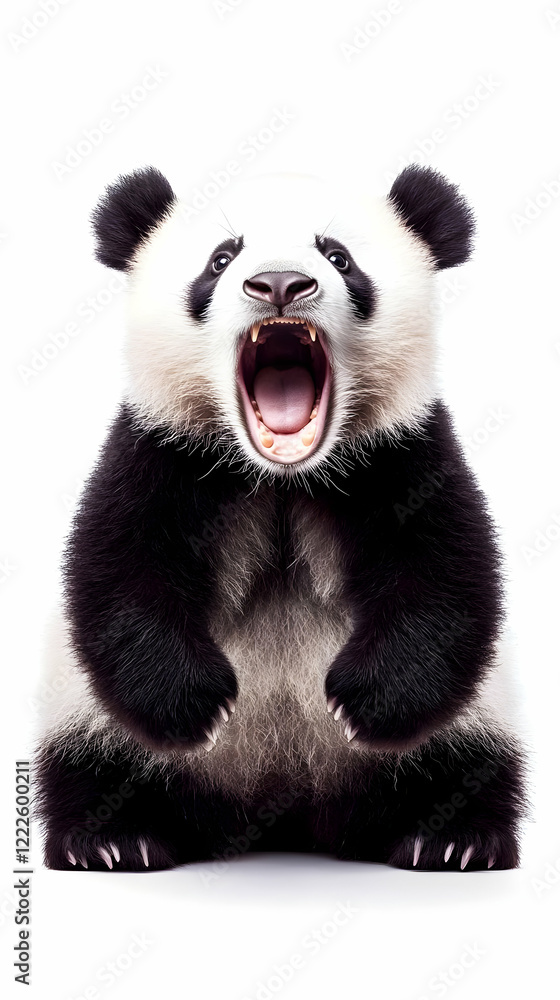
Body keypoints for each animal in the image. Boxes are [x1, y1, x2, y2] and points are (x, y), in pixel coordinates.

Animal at [36, 165, 527, 873]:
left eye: (338, 256)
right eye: (220, 258)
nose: (278, 285)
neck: (282, 479)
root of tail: (283, 811)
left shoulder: (406, 454)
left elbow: (447, 576)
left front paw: (365, 702)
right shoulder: (158, 450)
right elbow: (118, 571)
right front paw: (196, 703)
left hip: (478, 714)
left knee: (467, 762)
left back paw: (451, 838)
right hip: (79, 705)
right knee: (92, 762)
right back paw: (113, 838)